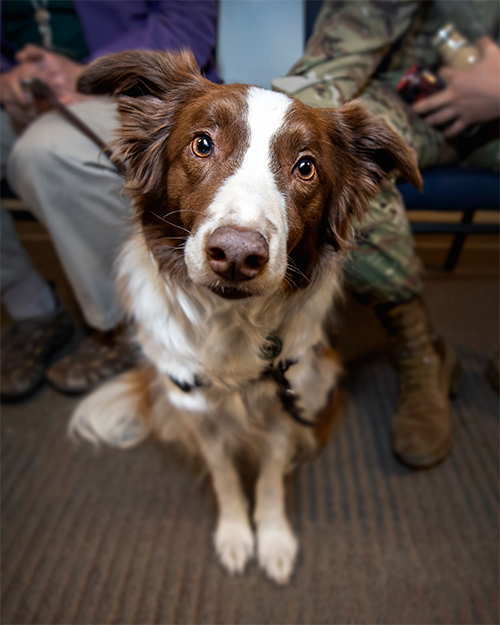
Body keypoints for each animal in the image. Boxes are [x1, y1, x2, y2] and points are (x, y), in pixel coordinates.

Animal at [71, 51, 422, 584]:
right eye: (202, 143)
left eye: (305, 167)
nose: (236, 255)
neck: (231, 322)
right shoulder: (198, 411)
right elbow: (225, 477)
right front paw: (236, 533)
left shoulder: (285, 402)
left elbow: (271, 480)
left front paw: (273, 539)